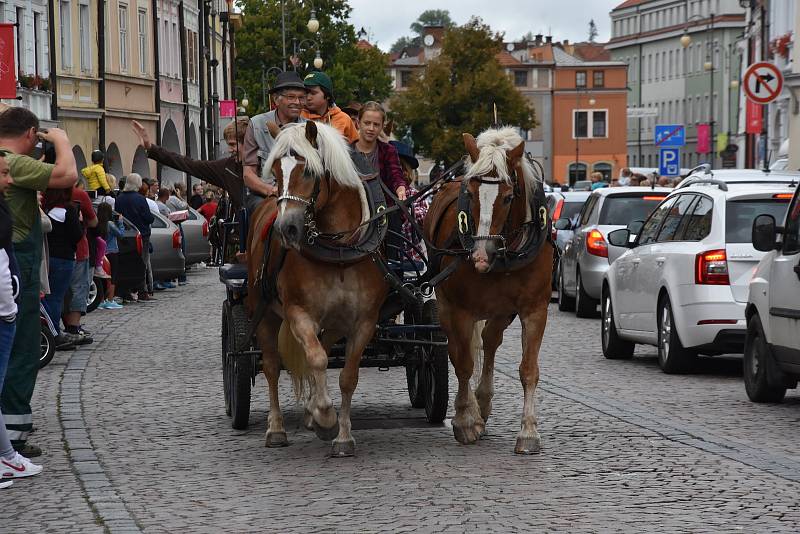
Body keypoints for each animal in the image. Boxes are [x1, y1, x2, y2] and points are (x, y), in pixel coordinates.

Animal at [248, 121, 390, 460]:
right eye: (275, 171)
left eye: (310, 172)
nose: (285, 229)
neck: (338, 252)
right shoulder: (298, 313)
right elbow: (316, 360)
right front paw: (325, 417)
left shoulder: (364, 321)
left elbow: (347, 376)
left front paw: (343, 436)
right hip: (262, 310)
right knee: (271, 365)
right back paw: (276, 429)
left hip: (334, 322)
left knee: (323, 348)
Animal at [424, 126, 552, 456]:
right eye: (469, 193)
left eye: (508, 197)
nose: (481, 255)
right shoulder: (461, 310)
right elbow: (464, 363)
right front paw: (465, 421)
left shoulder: (534, 309)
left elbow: (528, 369)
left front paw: (528, 432)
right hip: (445, 306)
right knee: (460, 353)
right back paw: (470, 409)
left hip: (501, 311)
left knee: (490, 340)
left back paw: (482, 401)